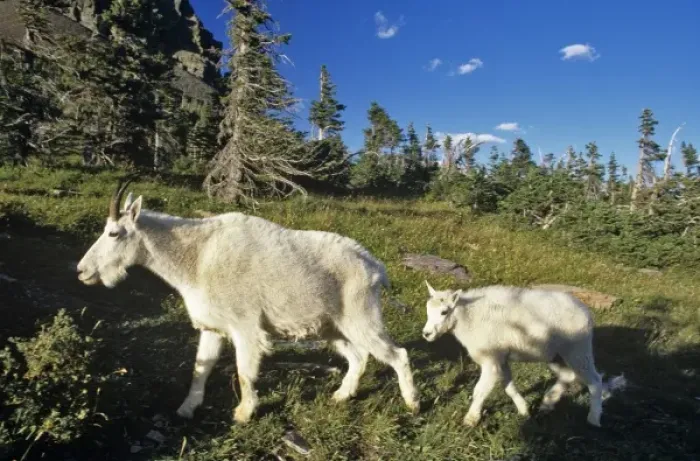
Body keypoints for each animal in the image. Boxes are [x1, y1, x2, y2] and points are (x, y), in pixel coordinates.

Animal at [76, 178, 419, 423]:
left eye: (114, 233)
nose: (82, 271)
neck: (197, 259)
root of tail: (375, 267)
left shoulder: (245, 326)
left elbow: (244, 370)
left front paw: (243, 414)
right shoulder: (212, 327)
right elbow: (201, 367)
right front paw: (187, 408)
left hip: (361, 317)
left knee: (396, 354)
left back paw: (413, 403)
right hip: (331, 327)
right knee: (358, 356)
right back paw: (341, 395)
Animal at [421, 282, 625, 427]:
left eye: (444, 312)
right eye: (427, 310)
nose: (427, 334)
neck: (469, 318)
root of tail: (587, 313)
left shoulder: (491, 358)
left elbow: (480, 390)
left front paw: (470, 420)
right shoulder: (501, 357)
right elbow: (508, 387)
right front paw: (524, 410)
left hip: (578, 349)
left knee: (595, 380)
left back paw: (593, 418)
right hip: (556, 354)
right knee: (568, 375)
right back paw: (547, 403)